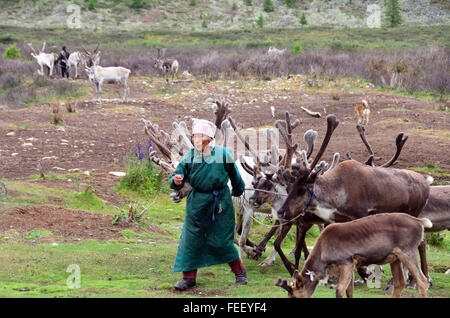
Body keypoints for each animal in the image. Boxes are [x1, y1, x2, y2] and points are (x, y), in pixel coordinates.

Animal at [276, 214, 430, 298]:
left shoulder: (347, 262)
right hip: (395, 258)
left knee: (422, 280)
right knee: (400, 283)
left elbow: (339, 290)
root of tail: (420, 222)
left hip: (407, 252)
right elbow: (349, 291)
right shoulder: (352, 266)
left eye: (293, 295)